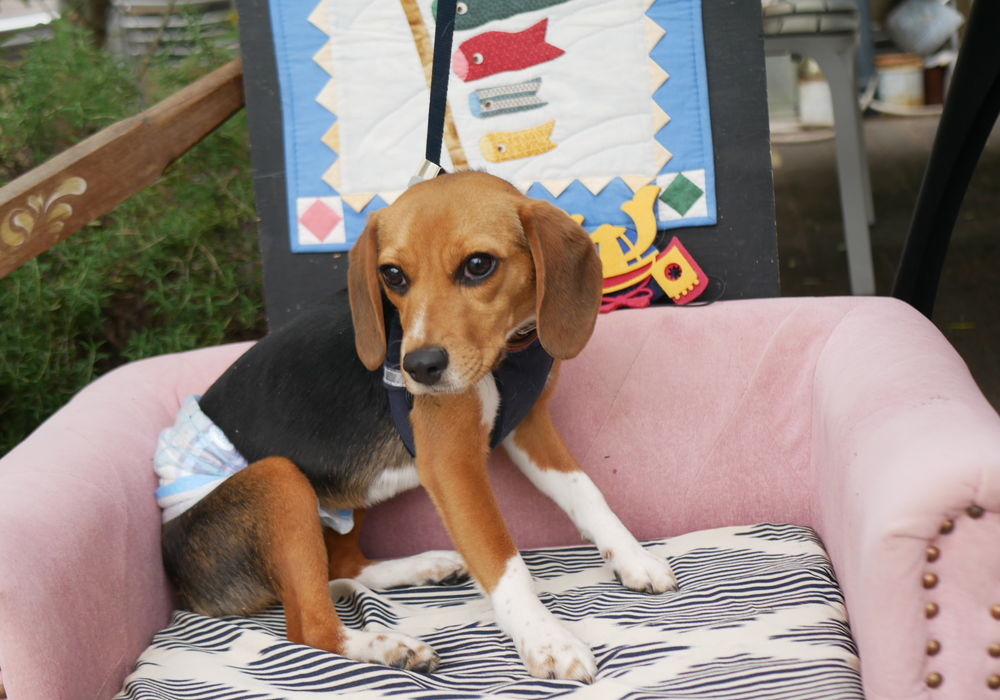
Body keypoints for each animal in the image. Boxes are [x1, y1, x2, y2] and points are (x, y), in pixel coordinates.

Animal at [158, 171, 676, 682]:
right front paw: (547, 639)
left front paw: (632, 558)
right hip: (278, 477)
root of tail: (177, 570)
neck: (505, 352)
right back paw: (388, 646)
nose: (419, 367)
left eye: (479, 265)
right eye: (392, 275)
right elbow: (502, 558)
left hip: (342, 497)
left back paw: (425, 567)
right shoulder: (451, 466)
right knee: (310, 626)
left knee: (340, 566)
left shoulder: (530, 427)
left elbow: (585, 492)